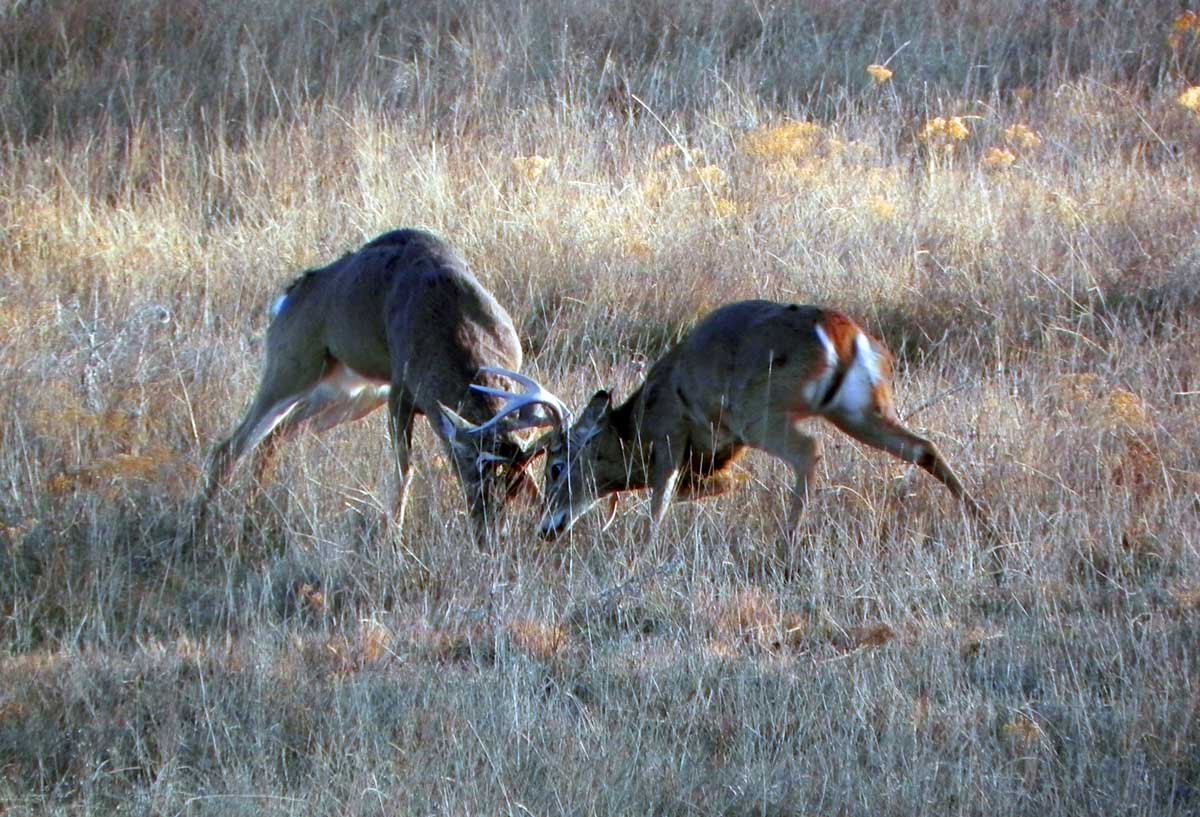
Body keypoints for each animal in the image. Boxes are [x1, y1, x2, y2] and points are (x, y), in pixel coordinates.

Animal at [190, 228, 545, 546]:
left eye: (514, 487)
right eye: (472, 473)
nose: (489, 536)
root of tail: (288, 298)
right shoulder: (400, 395)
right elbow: (405, 470)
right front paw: (394, 541)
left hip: (347, 397)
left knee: (275, 435)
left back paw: (251, 515)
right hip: (291, 371)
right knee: (233, 445)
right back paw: (197, 529)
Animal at [461, 300, 991, 543]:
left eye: (555, 467)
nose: (546, 529)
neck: (635, 424)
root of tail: (842, 334)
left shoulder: (671, 436)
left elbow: (659, 500)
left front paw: (646, 548)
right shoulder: (710, 463)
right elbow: (711, 488)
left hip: (761, 410)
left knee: (809, 451)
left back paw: (787, 542)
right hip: (859, 408)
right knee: (923, 446)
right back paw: (983, 521)